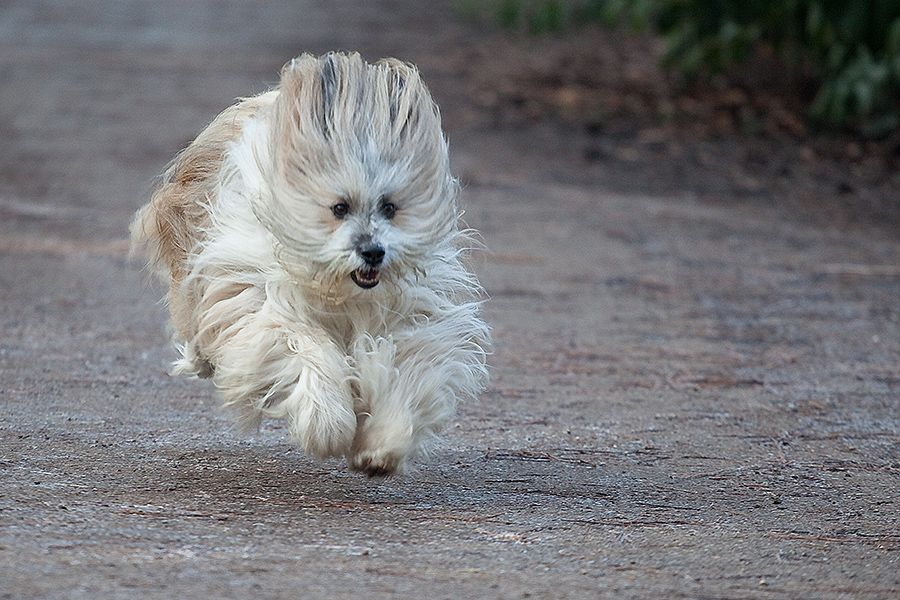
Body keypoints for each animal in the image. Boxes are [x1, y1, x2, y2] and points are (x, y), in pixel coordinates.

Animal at [130, 51, 488, 476]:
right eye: (339, 208)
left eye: (389, 207)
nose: (373, 251)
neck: (338, 289)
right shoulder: (260, 303)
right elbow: (306, 346)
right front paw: (329, 425)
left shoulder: (408, 319)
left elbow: (401, 366)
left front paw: (382, 444)